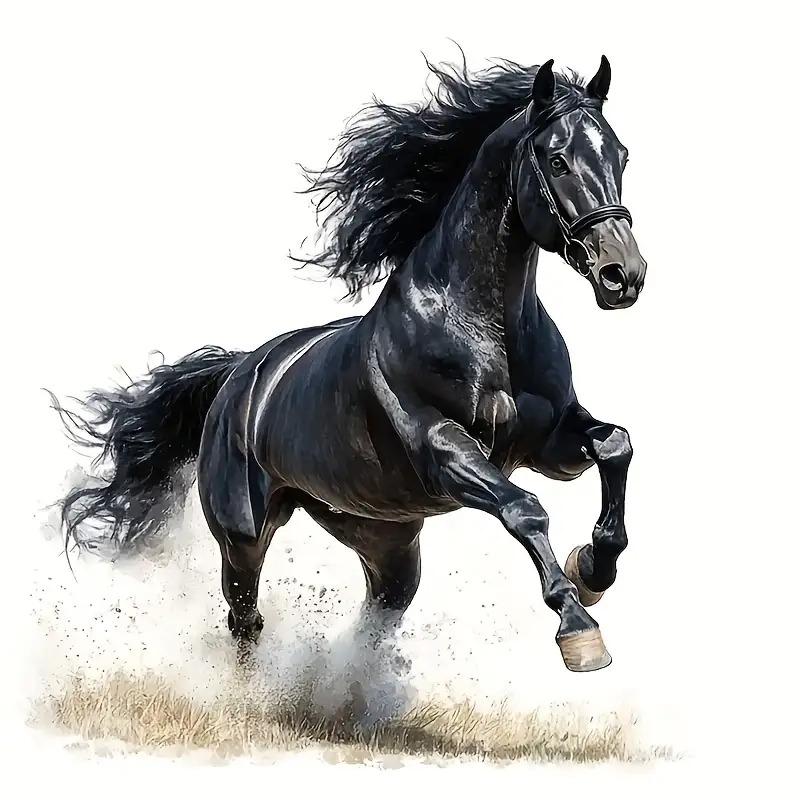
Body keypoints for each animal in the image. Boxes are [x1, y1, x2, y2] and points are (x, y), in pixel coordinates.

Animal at [54, 56, 646, 672]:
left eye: (622, 155)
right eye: (557, 159)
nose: (623, 275)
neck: (486, 328)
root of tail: (237, 378)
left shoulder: (546, 443)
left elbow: (615, 446)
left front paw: (593, 569)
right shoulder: (445, 451)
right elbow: (524, 509)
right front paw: (579, 628)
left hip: (383, 538)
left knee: (376, 616)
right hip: (243, 537)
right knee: (245, 618)